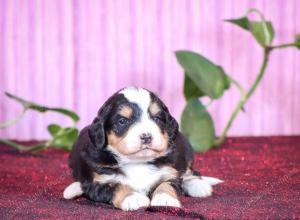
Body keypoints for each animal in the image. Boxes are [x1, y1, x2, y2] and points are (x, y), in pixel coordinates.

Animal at [63, 87, 223, 211]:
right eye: (122, 121)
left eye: (157, 118)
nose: (146, 136)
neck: (137, 162)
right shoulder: (98, 182)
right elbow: (116, 186)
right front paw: (133, 198)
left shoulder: (169, 172)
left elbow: (167, 183)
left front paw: (165, 199)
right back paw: (72, 189)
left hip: (186, 149)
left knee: (190, 173)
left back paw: (198, 185)